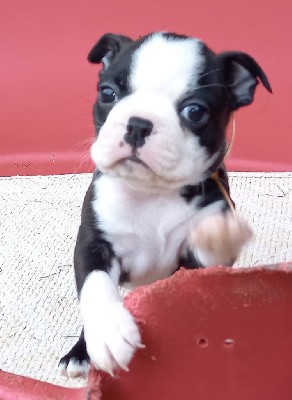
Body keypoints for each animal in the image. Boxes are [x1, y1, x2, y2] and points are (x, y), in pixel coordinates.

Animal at [58, 32, 272, 378]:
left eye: (195, 111)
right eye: (108, 93)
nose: (138, 124)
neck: (152, 194)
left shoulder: (193, 264)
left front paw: (218, 236)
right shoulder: (94, 243)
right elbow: (96, 285)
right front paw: (107, 333)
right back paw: (80, 353)